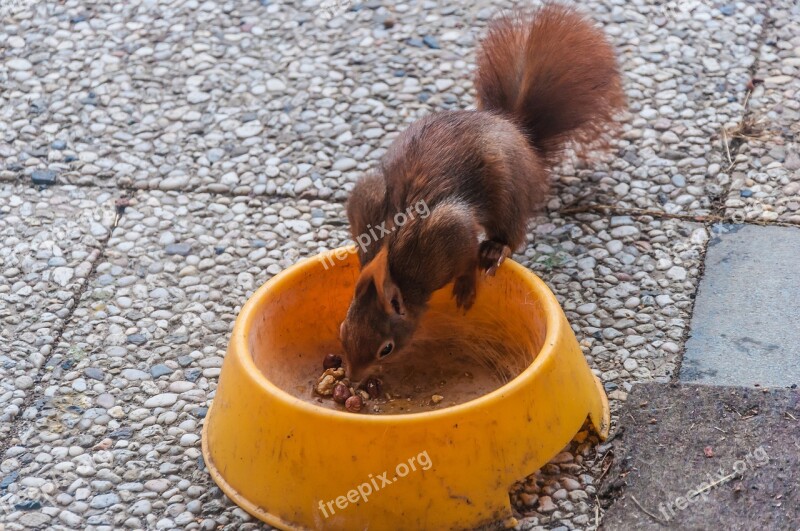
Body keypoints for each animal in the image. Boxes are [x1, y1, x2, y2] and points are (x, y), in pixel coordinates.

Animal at [338, 1, 624, 382]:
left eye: (386, 348)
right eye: (343, 330)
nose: (353, 378)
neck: (397, 267)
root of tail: (517, 133)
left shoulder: (446, 232)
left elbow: (466, 261)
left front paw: (466, 286)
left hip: (508, 190)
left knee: (510, 232)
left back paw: (494, 249)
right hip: (371, 188)